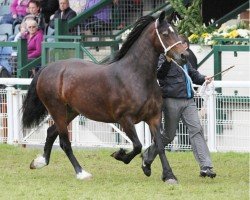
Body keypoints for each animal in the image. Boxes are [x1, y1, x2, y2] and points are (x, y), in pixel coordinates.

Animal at [22, 10, 188, 183]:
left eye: (176, 32)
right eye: (165, 34)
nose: (184, 55)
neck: (136, 76)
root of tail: (46, 68)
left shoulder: (153, 117)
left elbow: (160, 145)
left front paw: (166, 174)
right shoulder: (125, 120)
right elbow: (137, 146)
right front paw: (120, 155)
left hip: (71, 111)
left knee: (51, 132)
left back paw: (39, 162)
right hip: (57, 110)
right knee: (65, 142)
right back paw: (81, 173)